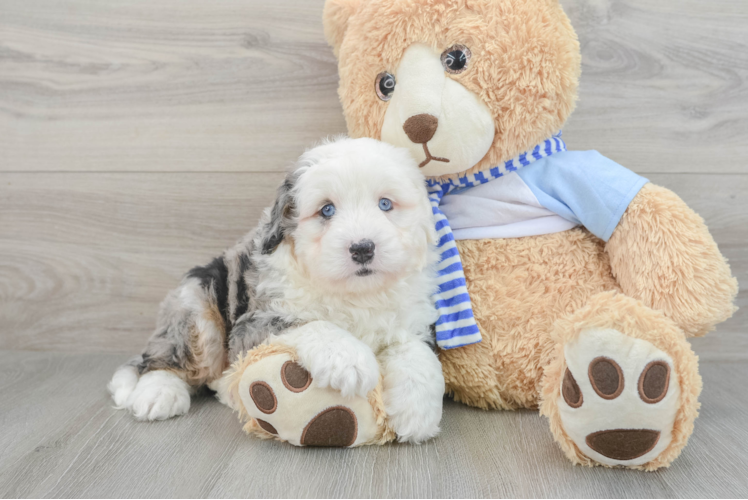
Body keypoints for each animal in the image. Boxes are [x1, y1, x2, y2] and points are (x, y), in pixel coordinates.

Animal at [109, 136, 448, 442]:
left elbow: (417, 353)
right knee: (167, 358)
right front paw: (349, 360)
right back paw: (158, 394)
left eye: (385, 204)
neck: (356, 294)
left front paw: (416, 412)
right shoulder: (253, 324)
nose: (363, 248)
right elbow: (310, 322)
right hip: (197, 305)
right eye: (326, 210)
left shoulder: (411, 318)